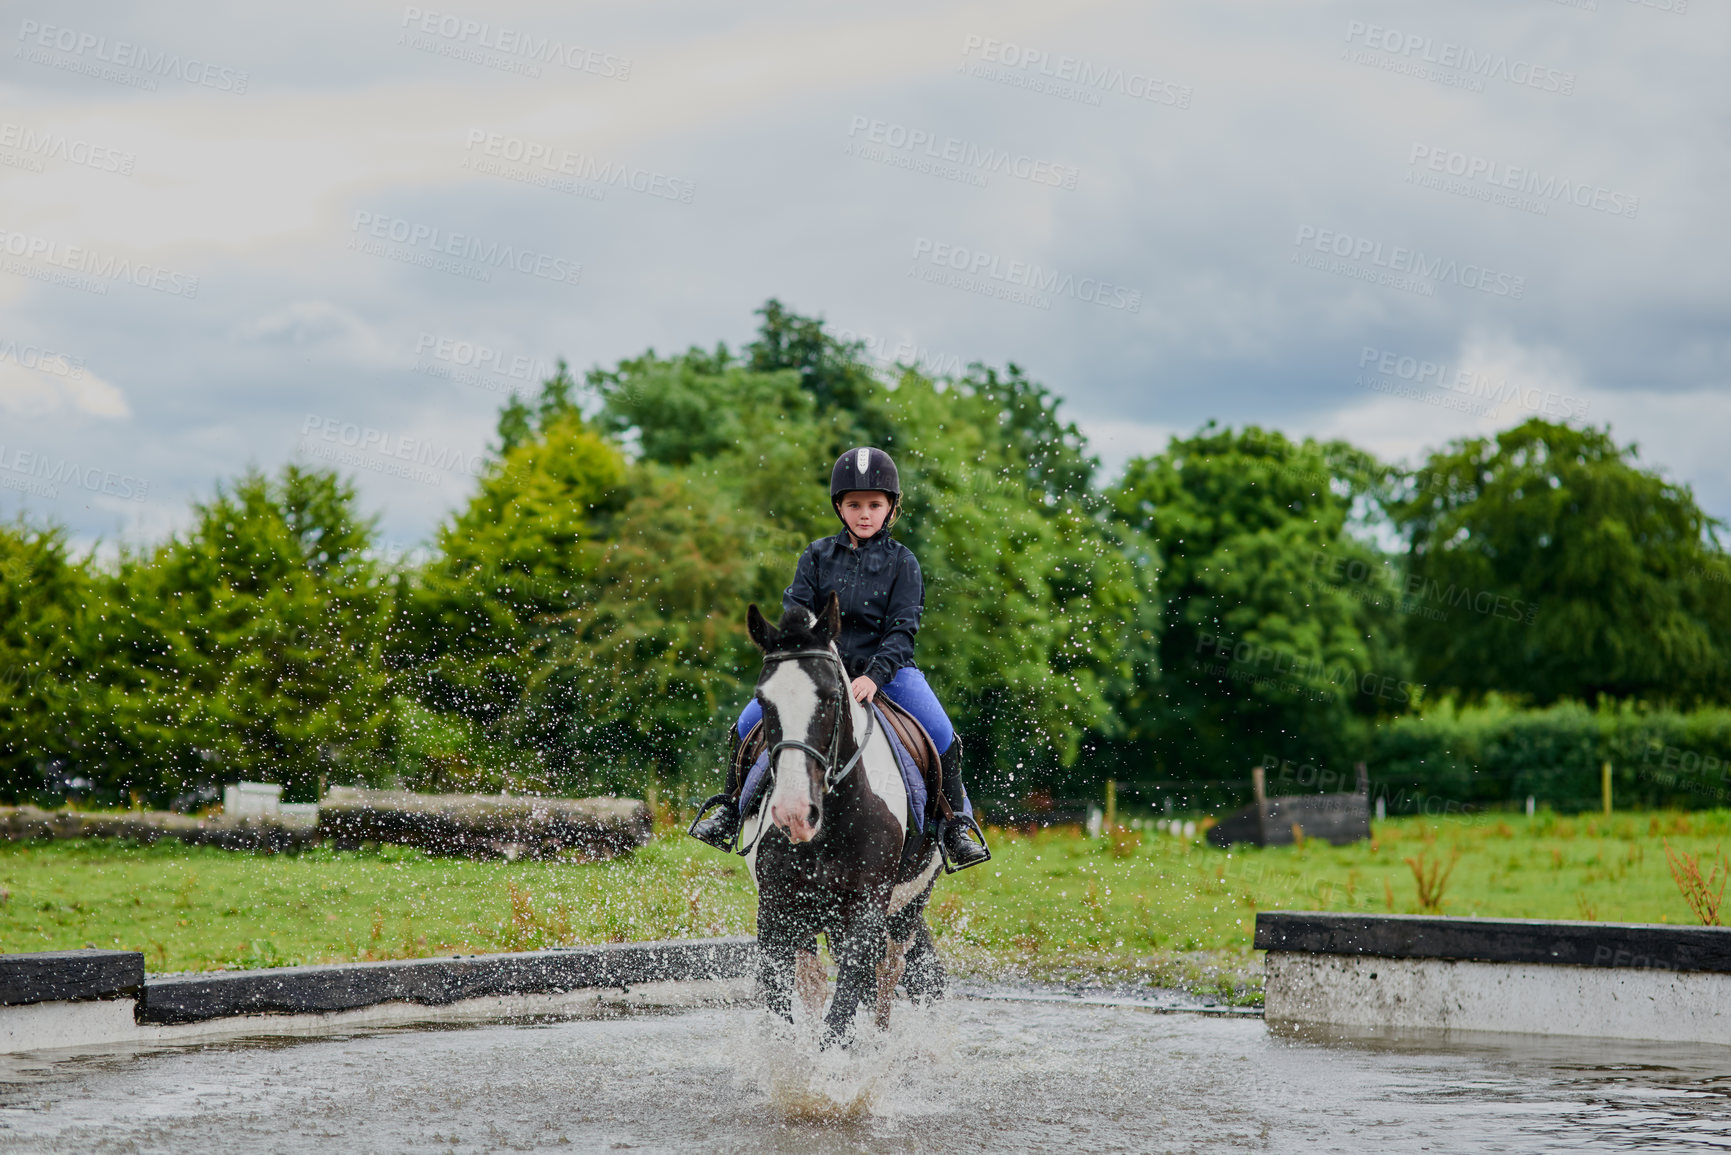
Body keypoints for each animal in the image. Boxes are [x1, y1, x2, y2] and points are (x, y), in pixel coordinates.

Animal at [733, 595, 941, 1045]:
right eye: (764, 701)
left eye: (830, 697)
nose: (794, 813)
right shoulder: (776, 910)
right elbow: (784, 1009)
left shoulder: (867, 911)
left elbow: (843, 1010)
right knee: (816, 980)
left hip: (906, 907)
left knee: (888, 972)